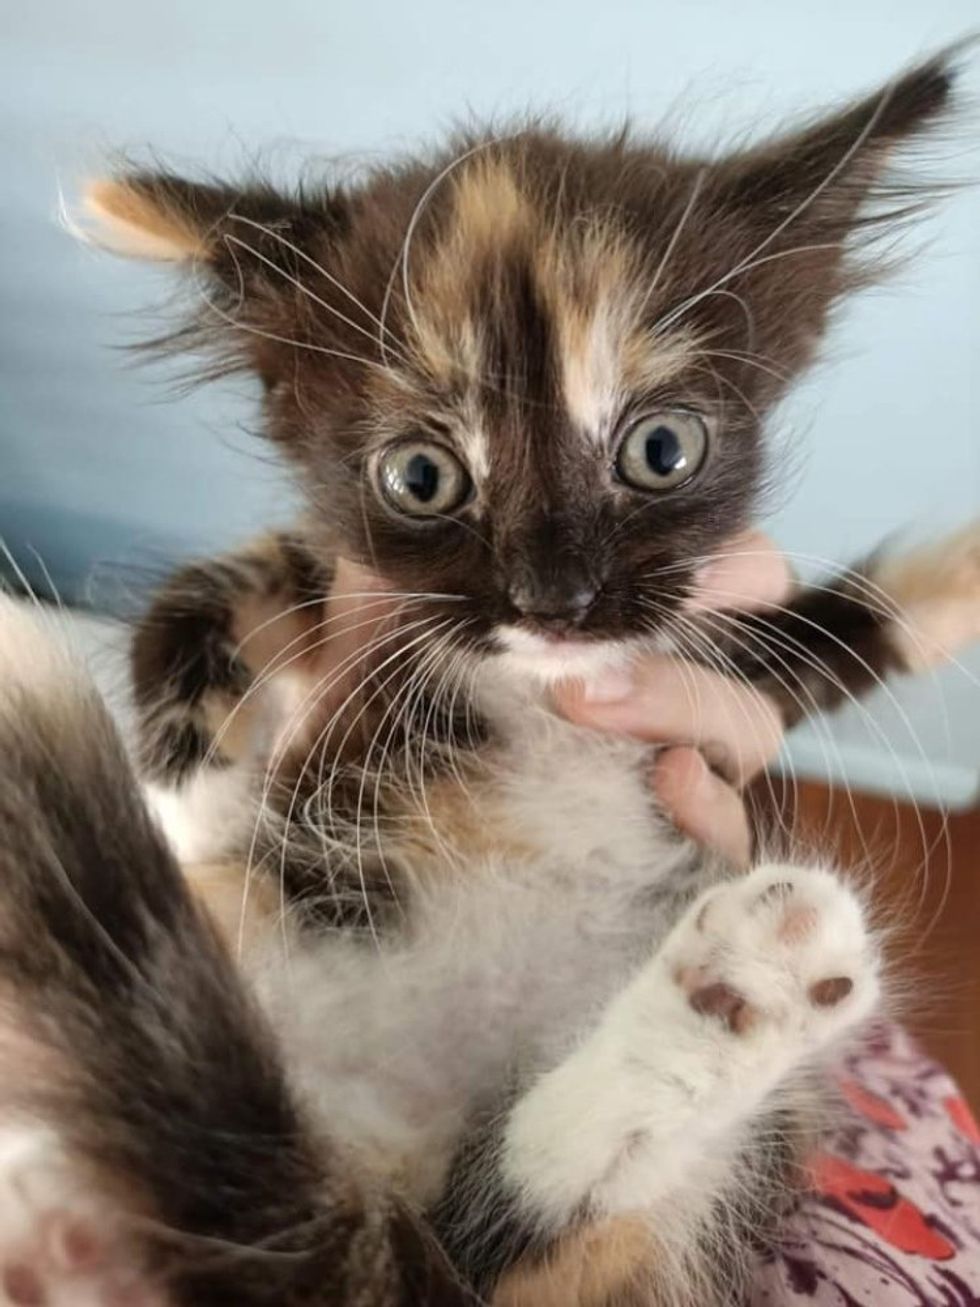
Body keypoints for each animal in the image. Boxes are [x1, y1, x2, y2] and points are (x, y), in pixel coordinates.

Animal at [1, 46, 980, 1307]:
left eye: (661, 449)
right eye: (422, 476)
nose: (551, 598)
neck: (541, 688)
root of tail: (370, 1157)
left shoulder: (695, 652)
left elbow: (808, 642)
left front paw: (947, 579)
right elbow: (237, 592)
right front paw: (196, 768)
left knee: (502, 1230)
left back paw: (742, 989)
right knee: (480, 1233)